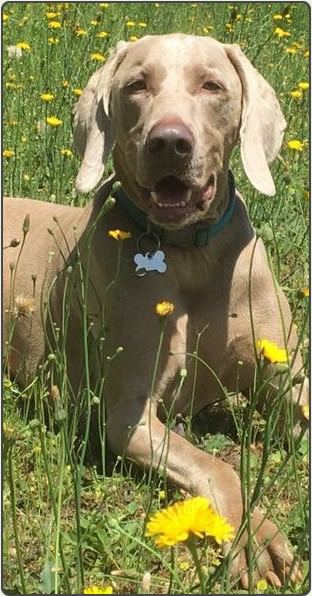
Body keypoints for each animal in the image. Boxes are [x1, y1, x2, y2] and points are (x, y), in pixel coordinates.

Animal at [3, 36, 308, 588]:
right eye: (136, 85)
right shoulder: (130, 417)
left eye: (212, 85)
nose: (169, 142)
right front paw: (256, 537)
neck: (189, 251)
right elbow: (217, 466)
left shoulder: (293, 392)